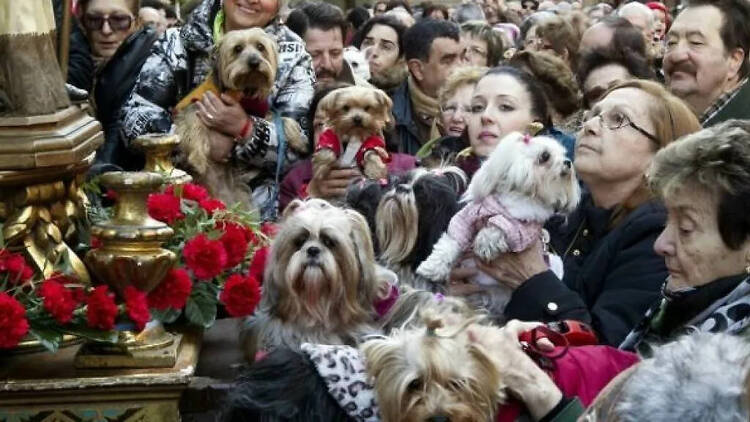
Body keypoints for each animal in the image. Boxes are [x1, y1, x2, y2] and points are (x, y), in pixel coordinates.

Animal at [175, 26, 306, 208]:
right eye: (237, 49)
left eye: (260, 47)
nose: (254, 62)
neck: (245, 91)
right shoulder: (195, 107)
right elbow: (195, 127)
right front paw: (198, 159)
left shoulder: (260, 114)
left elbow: (284, 120)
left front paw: (297, 139)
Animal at [418, 132, 580, 316]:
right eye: (545, 156)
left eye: (564, 154)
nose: (568, 162)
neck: (511, 200)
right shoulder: (465, 218)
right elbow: (451, 242)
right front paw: (432, 267)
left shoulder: (524, 228)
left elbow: (501, 226)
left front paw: (486, 242)